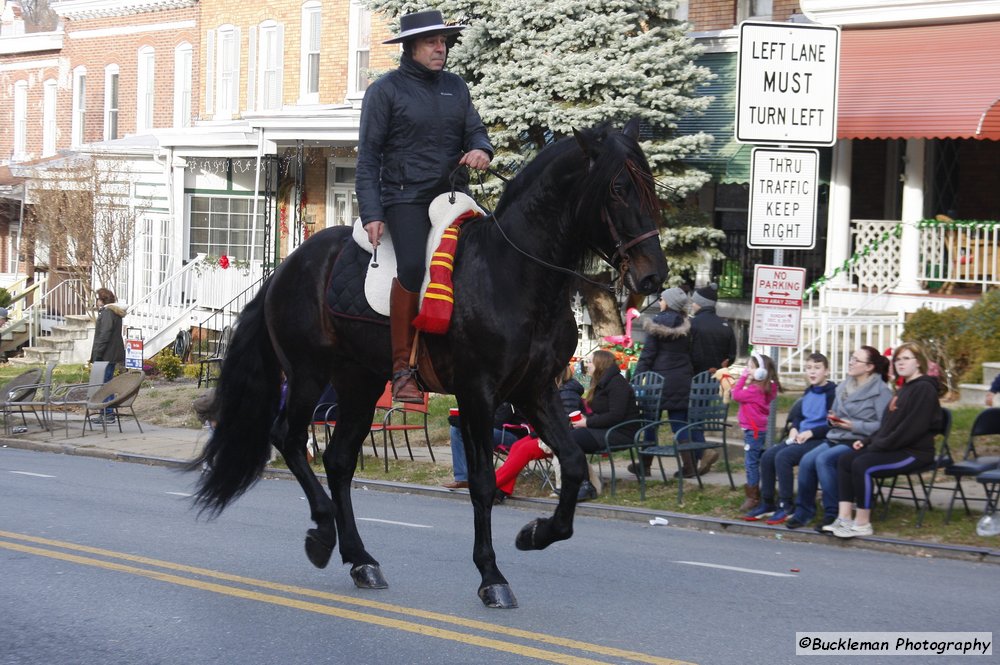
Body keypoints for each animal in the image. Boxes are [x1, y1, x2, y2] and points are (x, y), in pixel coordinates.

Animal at [188, 118, 672, 608]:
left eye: (649, 186)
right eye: (617, 189)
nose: (654, 275)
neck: (513, 274)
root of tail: (286, 266)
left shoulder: (535, 390)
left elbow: (572, 462)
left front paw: (537, 533)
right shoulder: (478, 393)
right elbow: (482, 481)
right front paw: (491, 575)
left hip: (359, 383)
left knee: (339, 460)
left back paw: (361, 559)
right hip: (308, 374)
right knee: (288, 438)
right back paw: (323, 533)